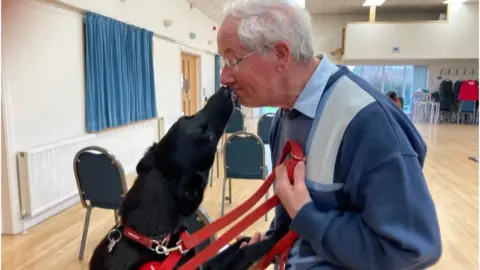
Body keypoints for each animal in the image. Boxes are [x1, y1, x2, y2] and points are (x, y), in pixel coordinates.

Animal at [89, 87, 284, 270]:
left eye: (186, 118)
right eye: (210, 138)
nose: (225, 90)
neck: (154, 240)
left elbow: (237, 246)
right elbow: (245, 252)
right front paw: (278, 234)